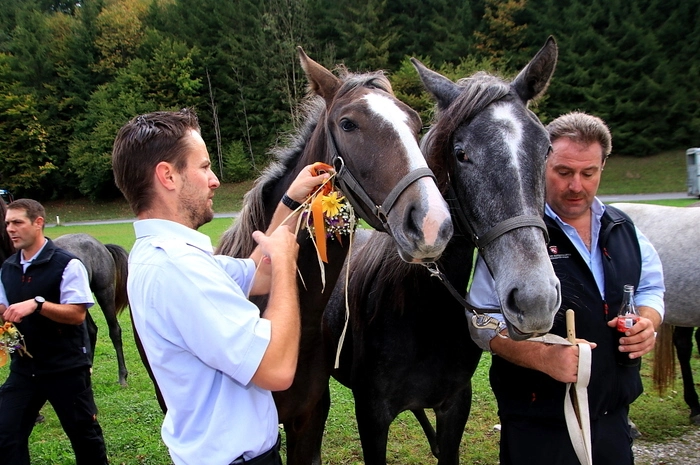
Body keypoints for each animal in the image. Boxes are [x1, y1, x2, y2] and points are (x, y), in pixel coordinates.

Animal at [322, 37, 561, 464]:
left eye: (547, 148)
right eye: (461, 153)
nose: (535, 299)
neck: (420, 308)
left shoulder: (455, 405)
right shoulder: (371, 415)